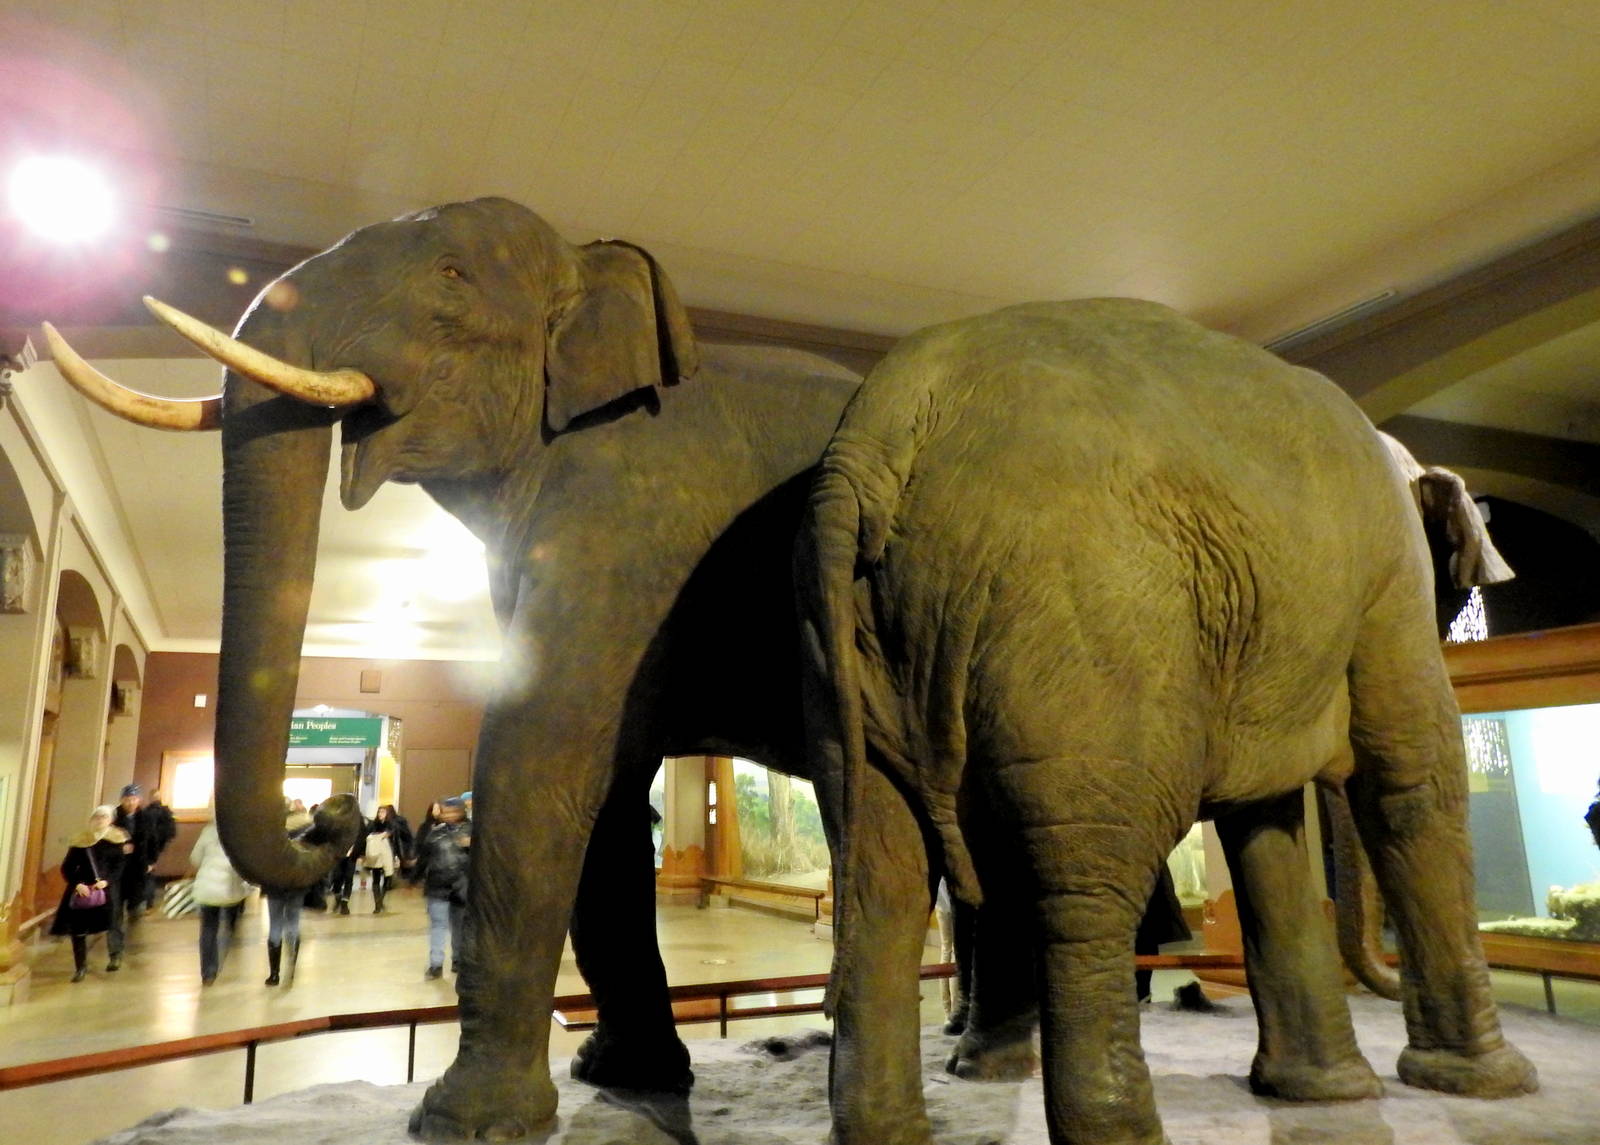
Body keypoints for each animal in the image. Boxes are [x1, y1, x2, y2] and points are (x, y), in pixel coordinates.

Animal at [795, 298, 1537, 1145]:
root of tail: (881, 433)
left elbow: (1266, 824)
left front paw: (1325, 1092)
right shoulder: (1393, 576)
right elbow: (1412, 774)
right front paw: (1488, 1081)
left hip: (854, 646)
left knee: (879, 869)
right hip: (1082, 628)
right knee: (1087, 881)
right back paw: (1126, 1127)